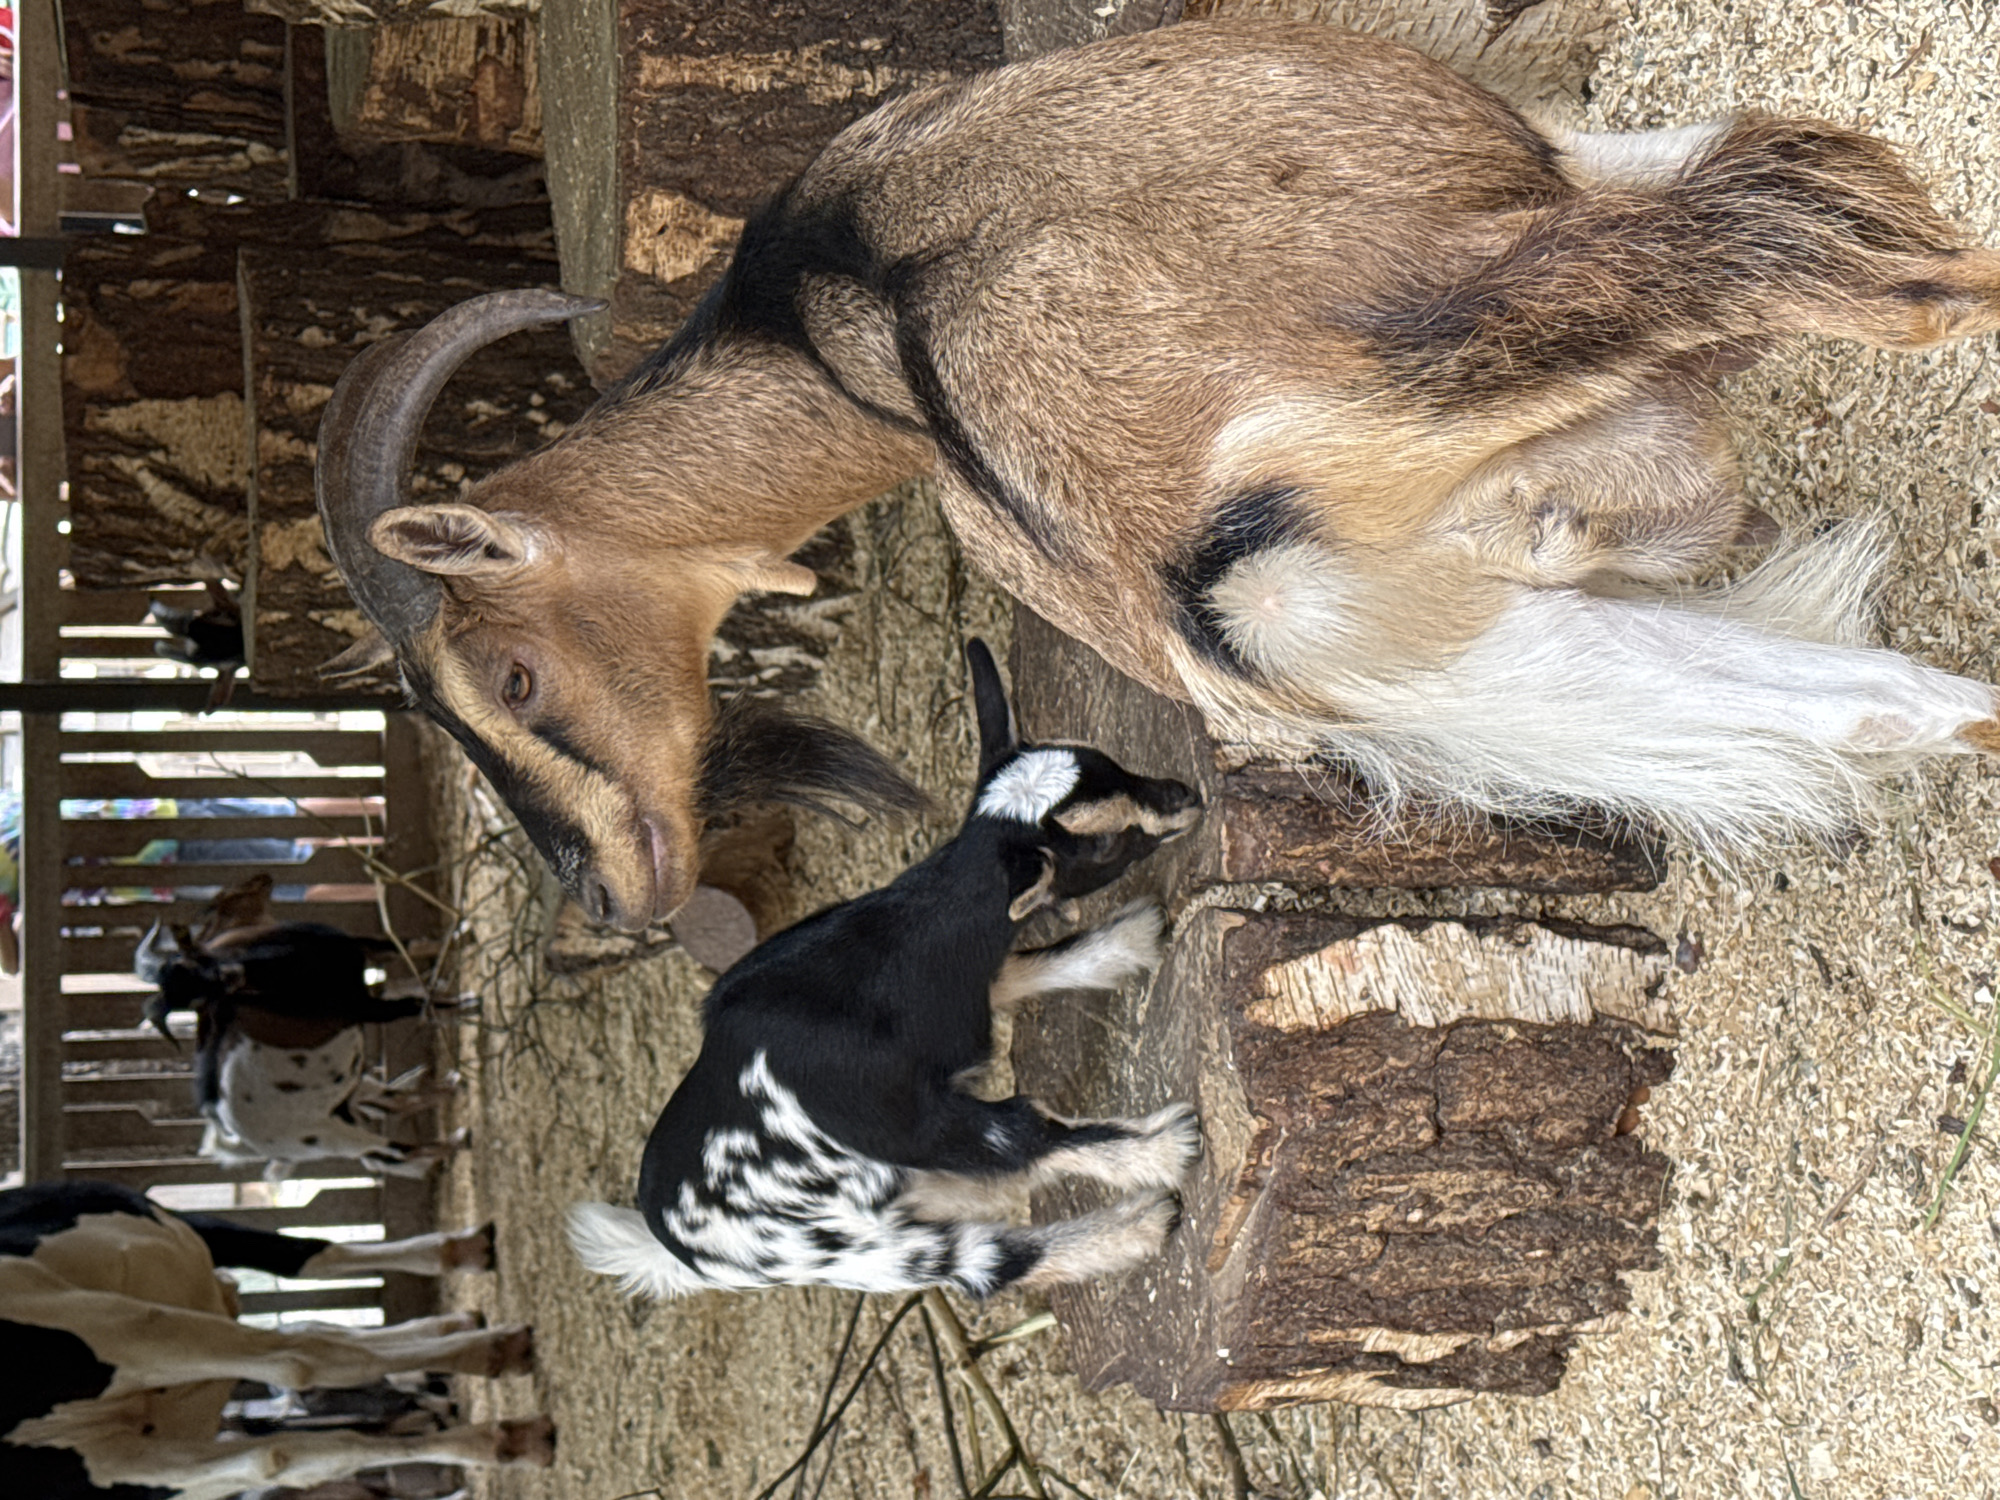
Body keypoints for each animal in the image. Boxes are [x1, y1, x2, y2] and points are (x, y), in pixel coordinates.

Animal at [0, 1182, 550, 1500]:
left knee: (305, 1283)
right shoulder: (122, 1463)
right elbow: (294, 1447)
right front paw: (502, 1434)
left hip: (159, 1241)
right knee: (309, 1344)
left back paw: (463, 1270)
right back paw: (477, 1344)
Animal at [316, 19, 2000, 929]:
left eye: (509, 680)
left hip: (1464, 642)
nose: (611, 897)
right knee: (1873, 267)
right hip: (1547, 336)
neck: (846, 323)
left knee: (1880, 699)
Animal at [567, 640, 1204, 1299]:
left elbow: (1020, 968)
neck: (895, 952)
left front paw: (1130, 939)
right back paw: (1139, 1223)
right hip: (851, 1251)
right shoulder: (919, 1123)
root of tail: (675, 1244)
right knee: (981, 1261)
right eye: (1101, 846)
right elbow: (1028, 1130)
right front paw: (1162, 1149)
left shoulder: (962, 1002)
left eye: (1108, 759)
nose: (1186, 799)